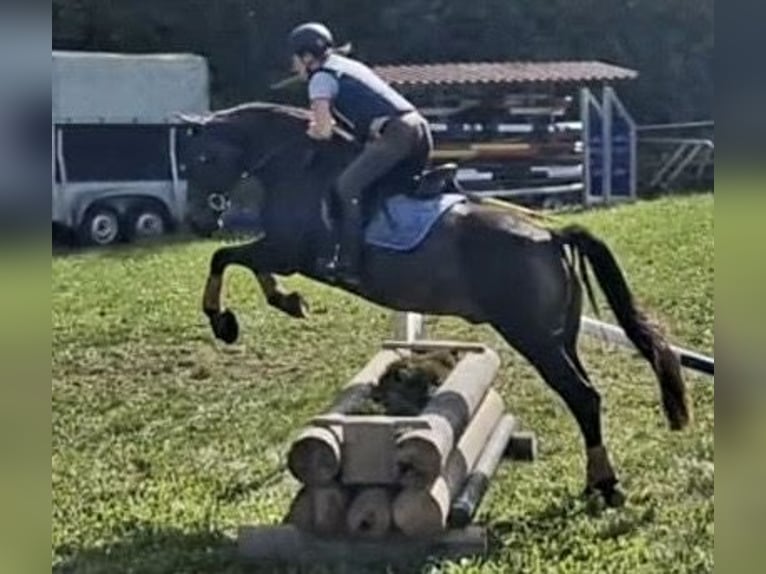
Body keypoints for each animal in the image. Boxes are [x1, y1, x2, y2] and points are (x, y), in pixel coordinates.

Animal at [178, 101, 691, 507]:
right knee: (586, 392)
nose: (198, 220)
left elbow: (224, 257)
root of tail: (551, 234)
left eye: (201, 158)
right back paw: (595, 481)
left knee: (581, 396)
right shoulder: (281, 252)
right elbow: (242, 262)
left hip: (530, 335)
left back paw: (604, 484)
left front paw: (224, 321)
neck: (298, 164)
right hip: (559, 336)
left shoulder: (288, 250)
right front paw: (287, 301)